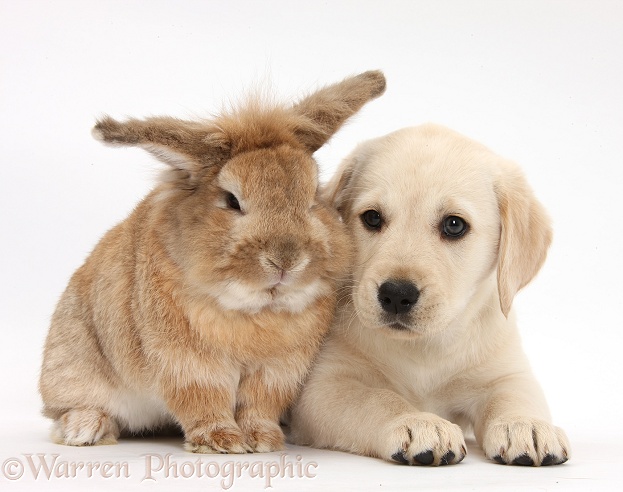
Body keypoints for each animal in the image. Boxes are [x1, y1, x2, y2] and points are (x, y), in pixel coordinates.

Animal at [37, 70, 386, 454]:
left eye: (313, 198)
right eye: (232, 200)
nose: (286, 260)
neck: (257, 311)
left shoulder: (278, 371)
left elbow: (259, 404)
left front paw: (263, 440)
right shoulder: (189, 365)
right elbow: (204, 400)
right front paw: (222, 442)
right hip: (73, 366)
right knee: (66, 409)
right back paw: (86, 429)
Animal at [290, 125, 572, 468]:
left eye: (454, 225)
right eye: (372, 218)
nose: (396, 295)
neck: (425, 348)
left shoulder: (506, 372)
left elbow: (515, 395)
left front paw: (524, 424)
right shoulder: (322, 388)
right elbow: (378, 399)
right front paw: (418, 422)